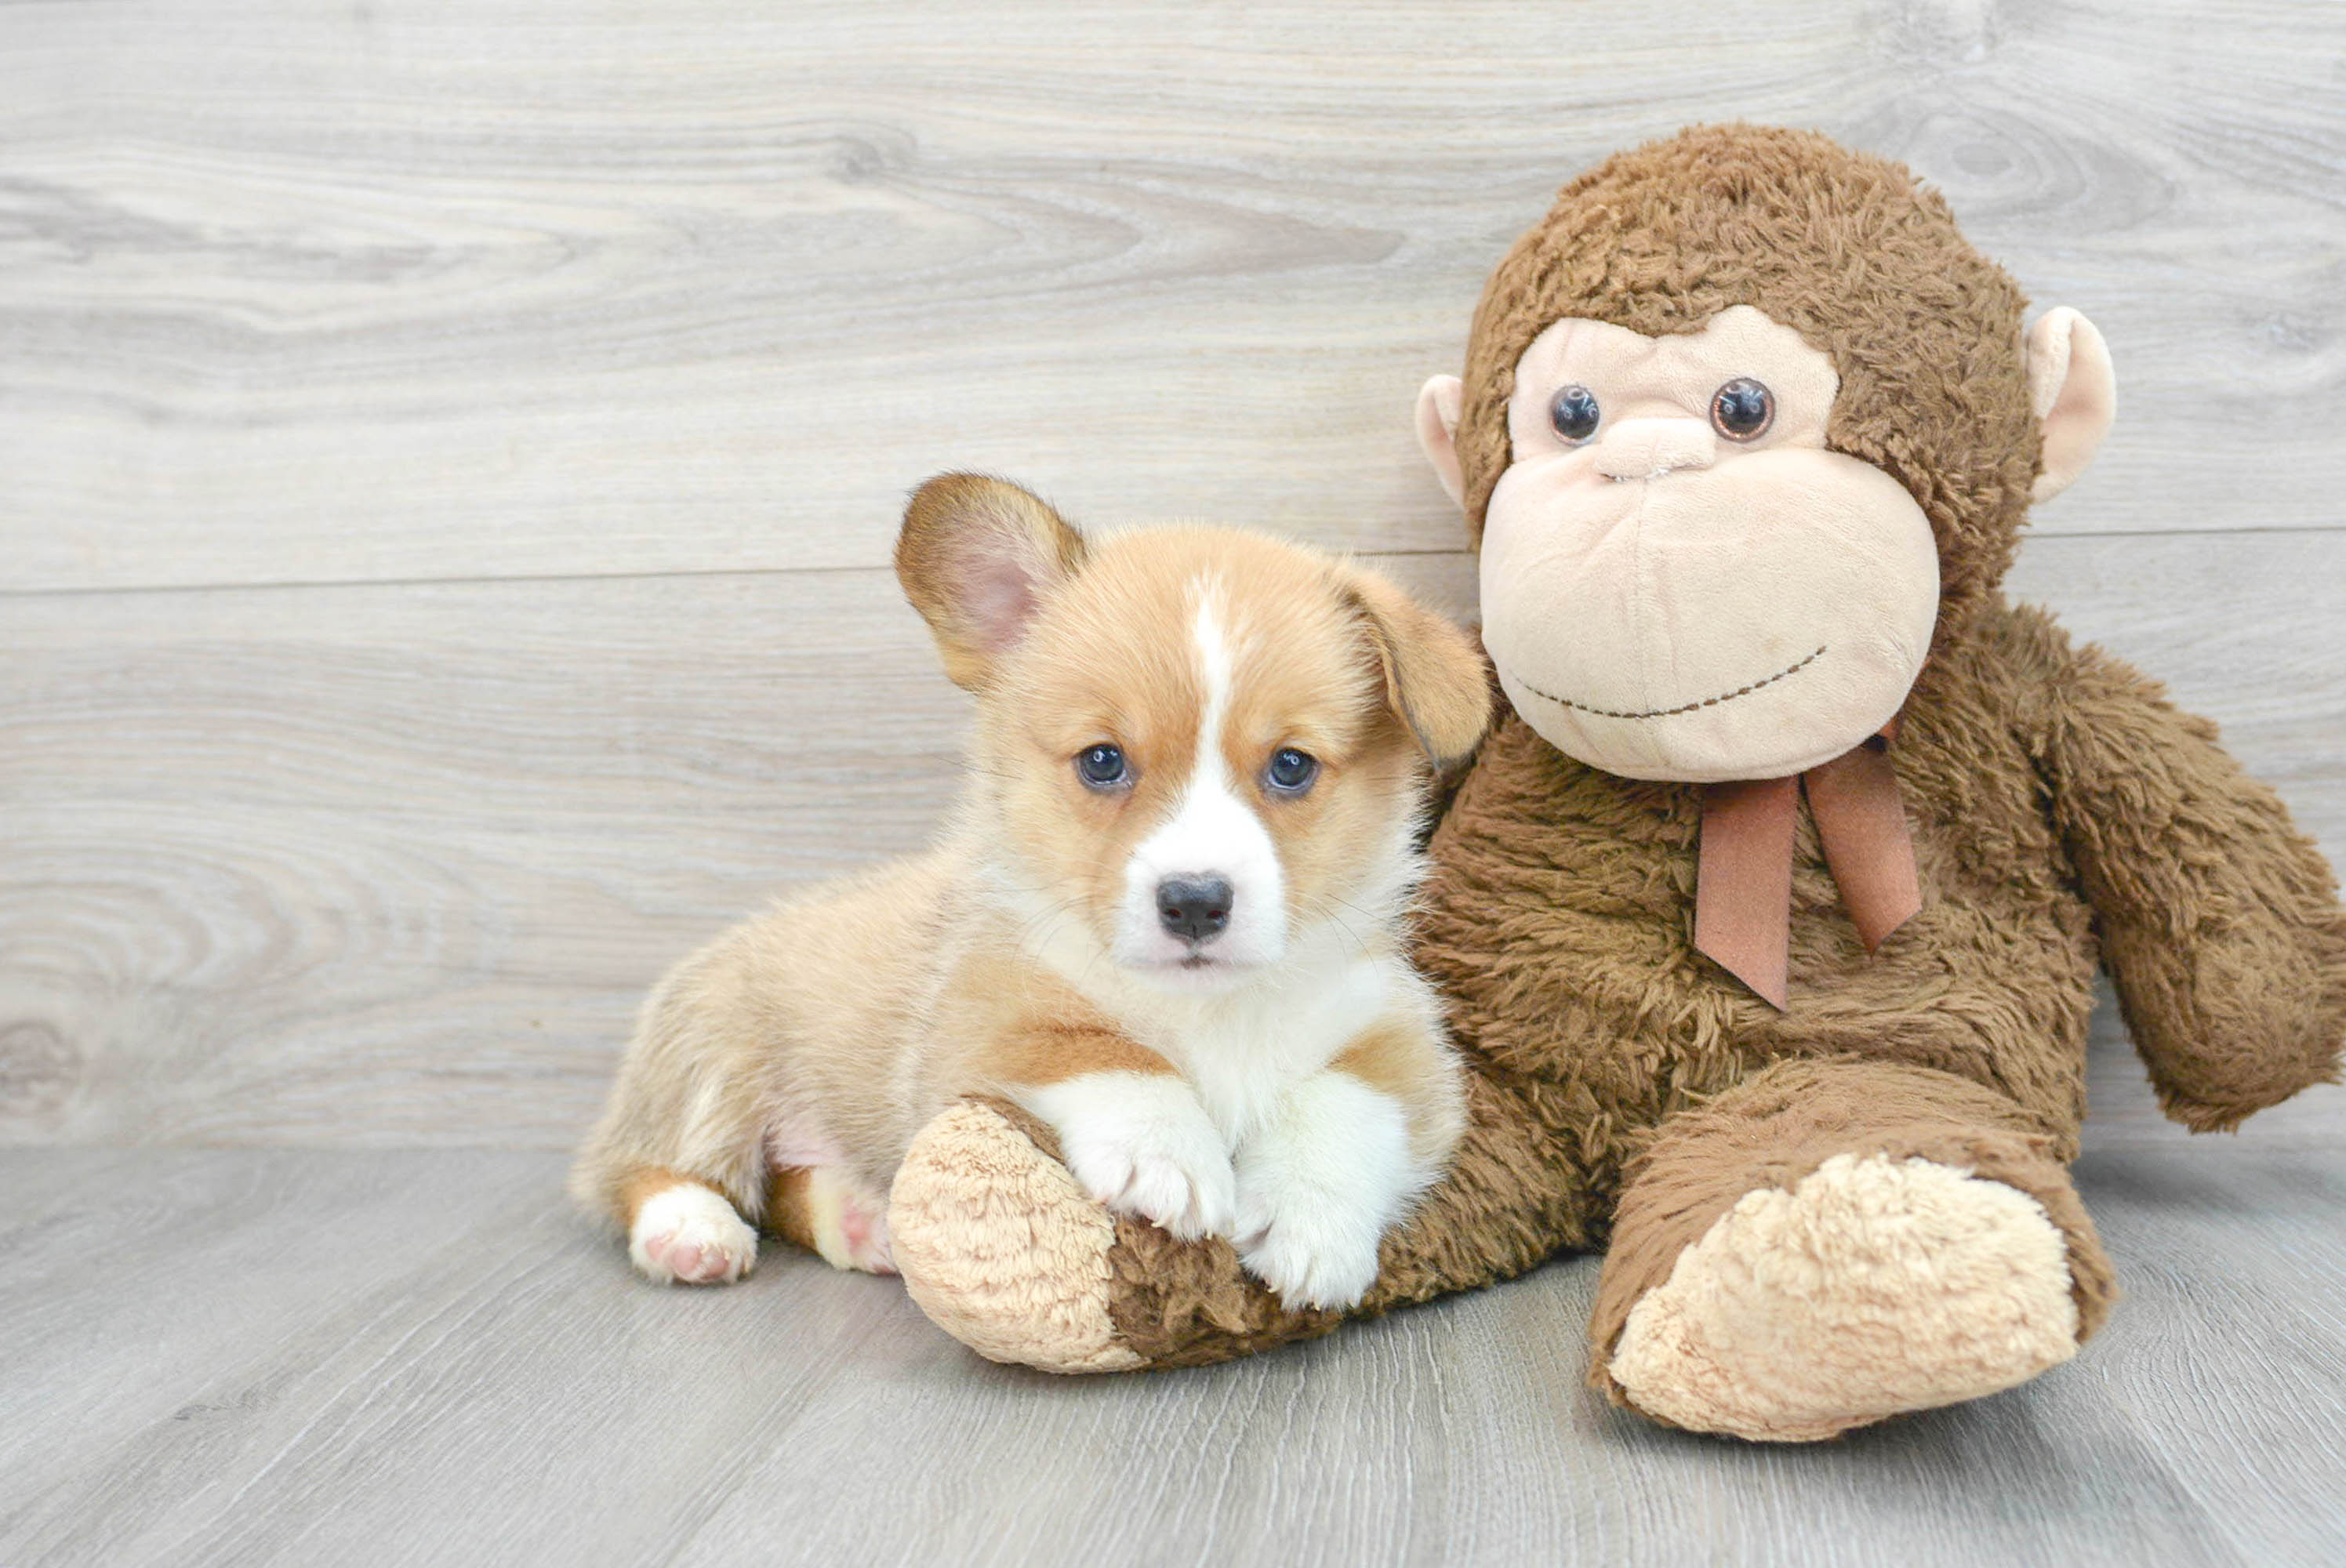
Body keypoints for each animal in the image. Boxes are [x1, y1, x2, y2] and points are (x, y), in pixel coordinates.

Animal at [568, 474, 1482, 1314]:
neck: (1207, 1011)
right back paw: (690, 1229)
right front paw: (1169, 1155)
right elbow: (1095, 1046)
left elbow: (1343, 1096)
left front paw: (1310, 1218)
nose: (1194, 901)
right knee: (633, 1169)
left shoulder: (1404, 1043)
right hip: (710, 1055)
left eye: (1291, 766)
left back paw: (860, 1219)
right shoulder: (978, 1027)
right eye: (1103, 760)